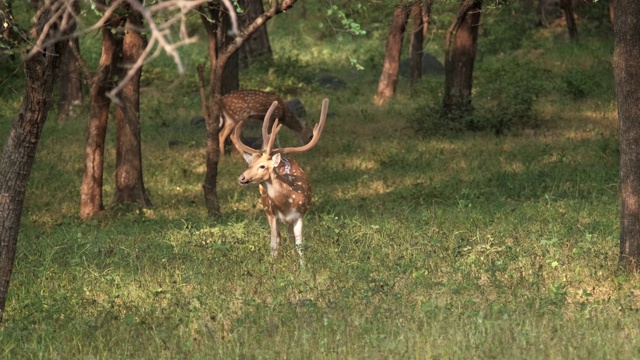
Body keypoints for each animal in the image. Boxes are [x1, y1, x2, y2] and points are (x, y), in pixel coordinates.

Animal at [230, 98, 330, 264]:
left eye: (262, 166)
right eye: (250, 165)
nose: (242, 178)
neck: (286, 203)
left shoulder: (299, 215)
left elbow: (299, 245)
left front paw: (303, 267)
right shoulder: (272, 215)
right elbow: (274, 244)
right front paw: (273, 265)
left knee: (289, 237)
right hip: (266, 209)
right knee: (279, 238)